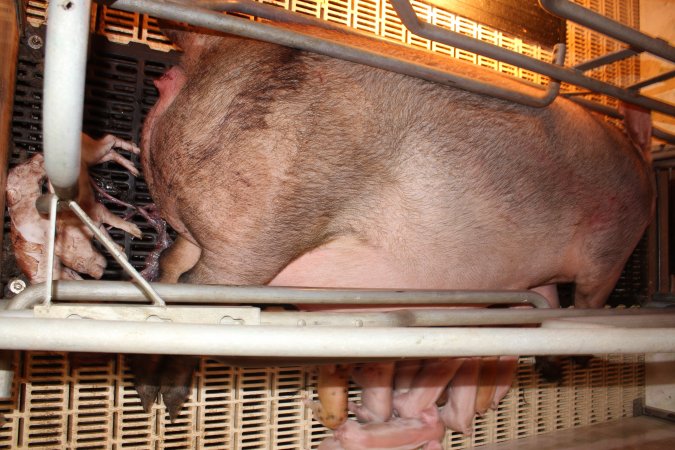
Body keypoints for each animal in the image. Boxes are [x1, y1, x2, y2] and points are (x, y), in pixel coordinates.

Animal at [137, 20, 656, 442]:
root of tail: (211, 41)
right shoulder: (613, 243)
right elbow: (583, 300)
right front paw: (570, 359)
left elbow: (546, 301)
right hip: (260, 227)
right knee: (200, 292)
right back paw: (169, 397)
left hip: (205, 225)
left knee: (173, 271)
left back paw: (149, 393)